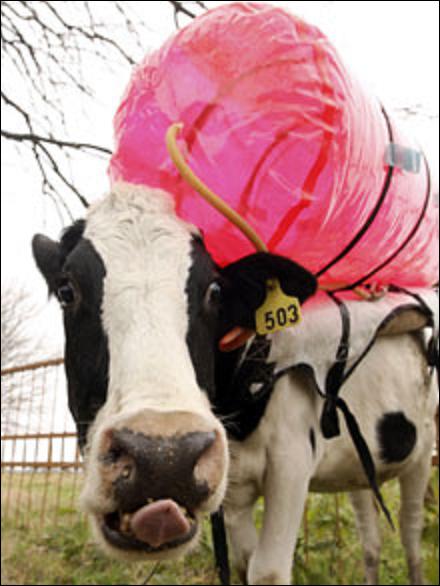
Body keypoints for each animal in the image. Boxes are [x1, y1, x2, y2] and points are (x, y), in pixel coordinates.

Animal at [32, 182, 438, 585]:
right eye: (66, 290)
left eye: (214, 291)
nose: (164, 458)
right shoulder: (232, 491)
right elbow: (244, 563)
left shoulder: (291, 460)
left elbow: (267, 570)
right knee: (370, 537)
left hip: (422, 450)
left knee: (411, 533)